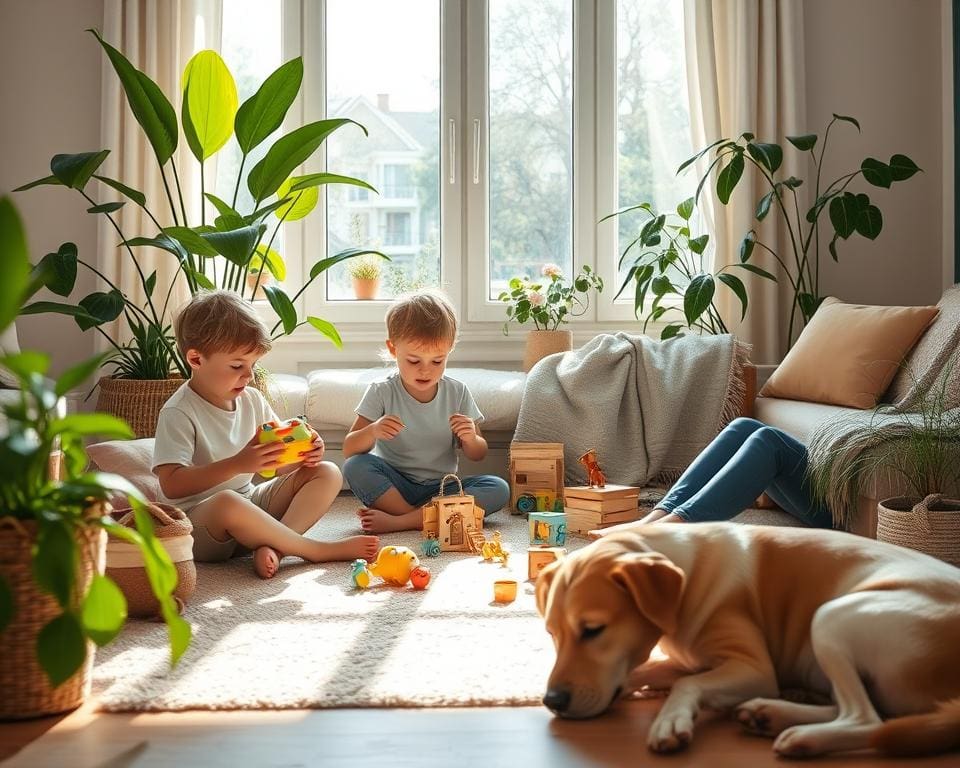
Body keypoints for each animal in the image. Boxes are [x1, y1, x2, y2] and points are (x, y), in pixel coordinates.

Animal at [536, 524, 960, 760]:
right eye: (552, 633)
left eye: (593, 630)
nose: (552, 701)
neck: (685, 577)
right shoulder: (683, 658)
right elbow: (653, 672)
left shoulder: (751, 667)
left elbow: (686, 684)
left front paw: (671, 719)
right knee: (865, 710)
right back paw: (772, 713)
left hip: (831, 617)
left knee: (866, 717)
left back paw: (803, 736)